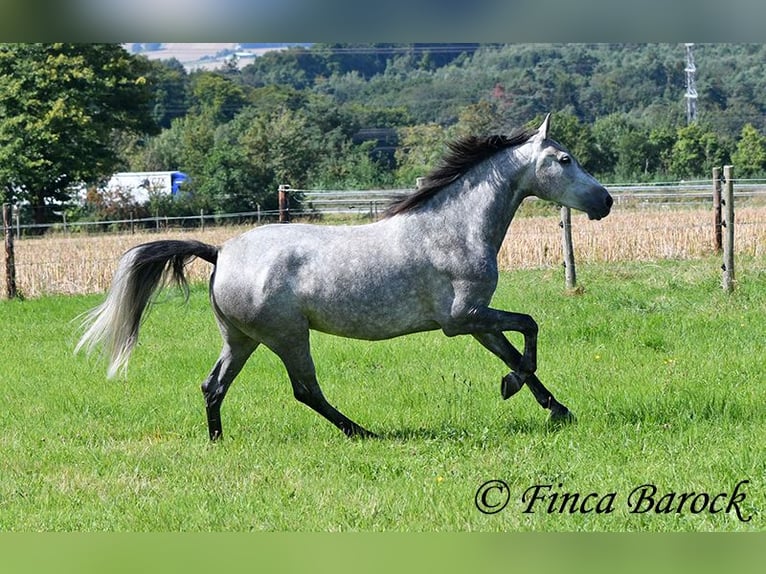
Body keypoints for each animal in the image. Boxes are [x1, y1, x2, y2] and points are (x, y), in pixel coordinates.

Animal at [78, 116, 616, 440]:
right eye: (564, 159)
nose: (606, 201)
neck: (454, 227)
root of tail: (221, 252)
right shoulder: (463, 318)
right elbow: (528, 328)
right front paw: (513, 387)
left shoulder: (475, 320)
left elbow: (513, 349)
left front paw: (555, 408)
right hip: (287, 336)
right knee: (305, 390)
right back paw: (362, 433)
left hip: (241, 339)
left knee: (214, 385)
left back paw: (217, 442)